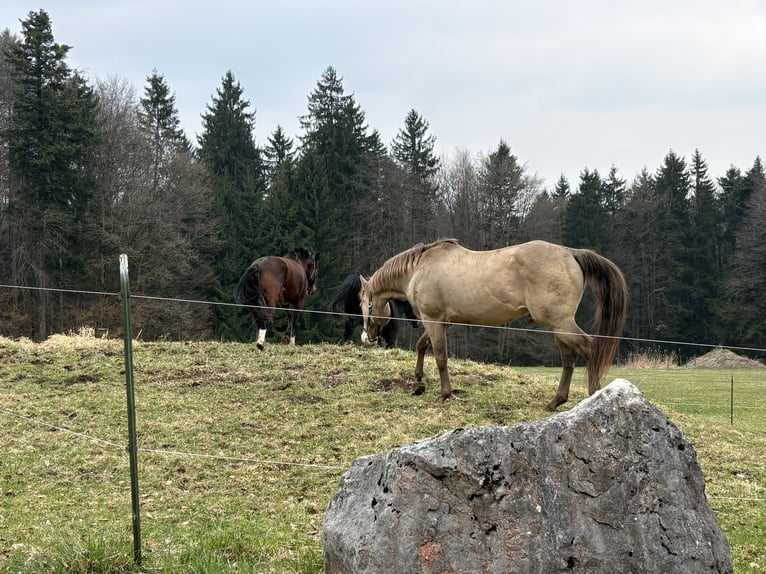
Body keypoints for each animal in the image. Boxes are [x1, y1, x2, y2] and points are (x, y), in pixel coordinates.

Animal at [359, 239, 627, 411]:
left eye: (361, 301)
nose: (367, 338)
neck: (421, 268)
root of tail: (570, 253)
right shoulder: (440, 322)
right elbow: (421, 346)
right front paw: (417, 382)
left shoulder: (433, 320)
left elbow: (441, 358)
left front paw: (444, 395)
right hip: (558, 325)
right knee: (569, 358)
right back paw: (556, 401)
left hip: (560, 323)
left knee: (590, 348)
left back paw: (594, 396)